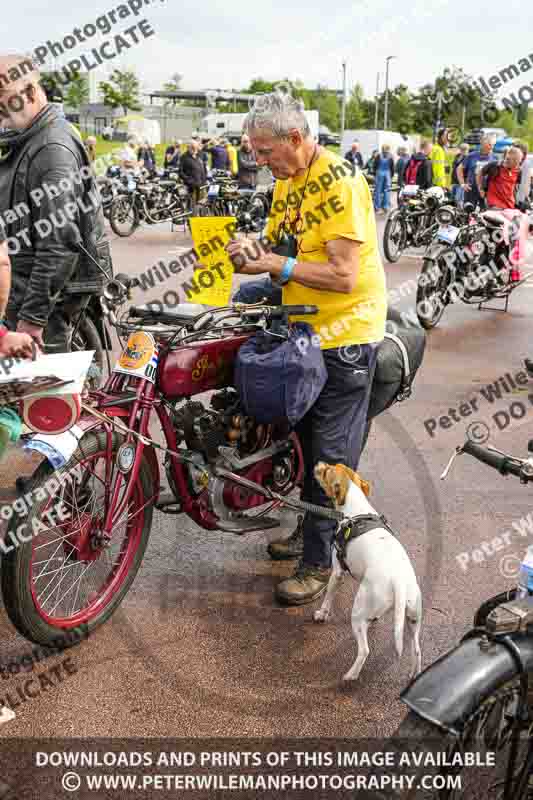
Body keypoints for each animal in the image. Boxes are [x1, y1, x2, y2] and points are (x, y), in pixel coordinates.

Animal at [312, 462, 420, 680]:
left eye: (326, 472)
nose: (318, 463)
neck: (356, 510)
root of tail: (399, 581)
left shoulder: (337, 572)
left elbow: (328, 596)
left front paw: (322, 613)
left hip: (358, 615)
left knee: (364, 650)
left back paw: (350, 675)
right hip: (413, 618)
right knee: (417, 650)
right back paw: (415, 673)